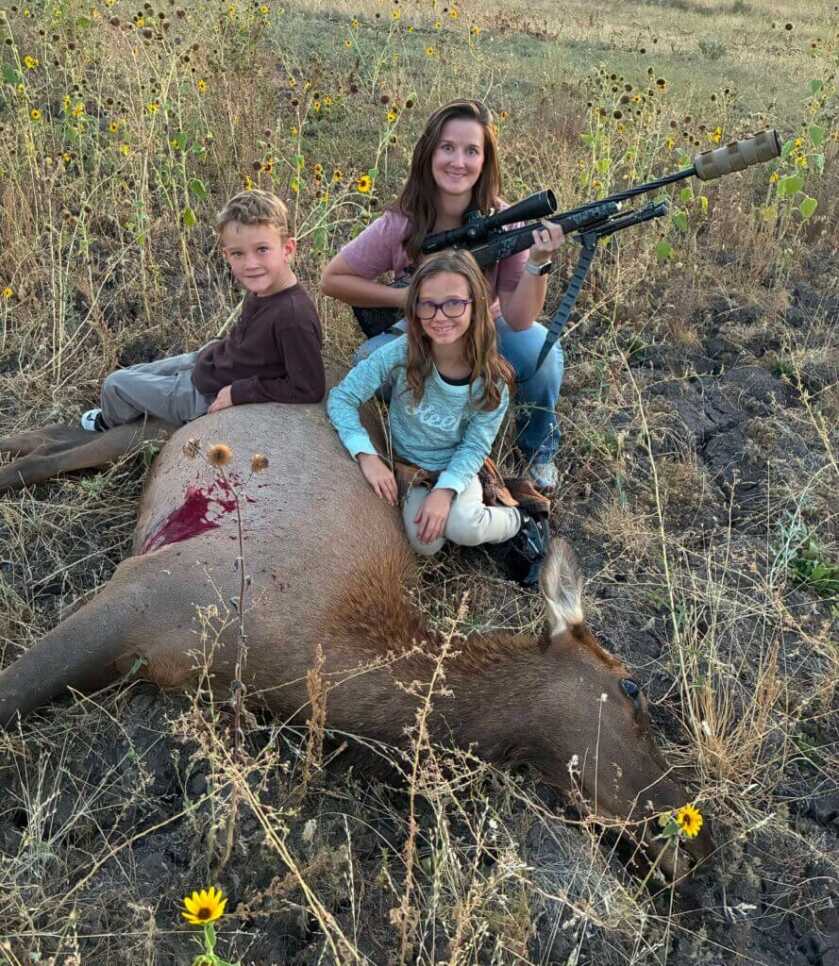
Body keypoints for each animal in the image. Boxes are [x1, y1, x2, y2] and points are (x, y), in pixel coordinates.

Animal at [0, 401, 713, 882]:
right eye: (631, 686)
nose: (696, 837)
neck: (313, 656)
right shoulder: (142, 592)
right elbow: (12, 692)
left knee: (114, 432)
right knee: (119, 431)